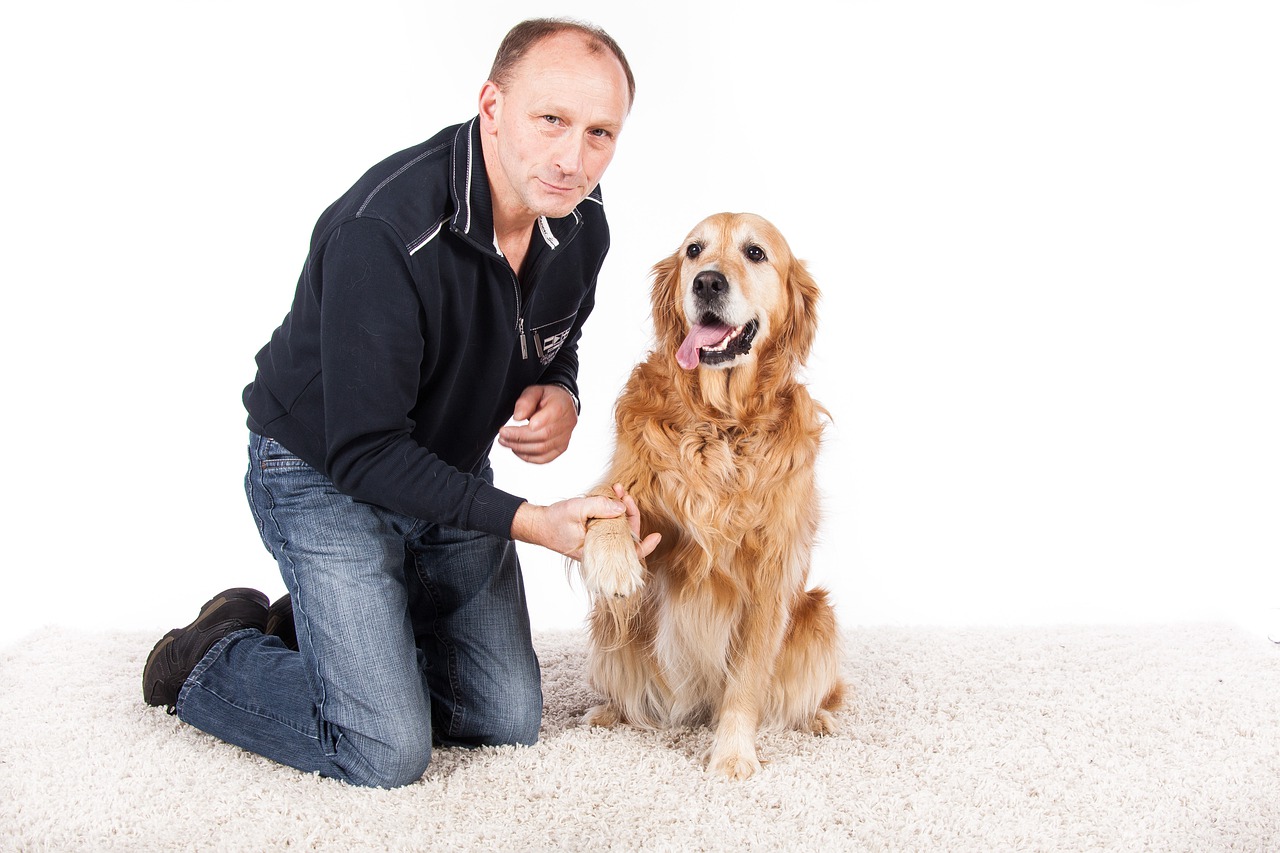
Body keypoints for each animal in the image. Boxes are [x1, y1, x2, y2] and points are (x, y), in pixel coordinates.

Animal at [578, 208, 839, 773]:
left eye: (755, 253)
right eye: (693, 250)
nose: (707, 282)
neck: (719, 422)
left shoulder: (772, 569)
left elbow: (747, 679)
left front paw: (733, 755)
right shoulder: (626, 482)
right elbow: (606, 509)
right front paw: (615, 563)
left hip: (819, 617)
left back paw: (820, 720)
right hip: (612, 633)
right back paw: (605, 713)